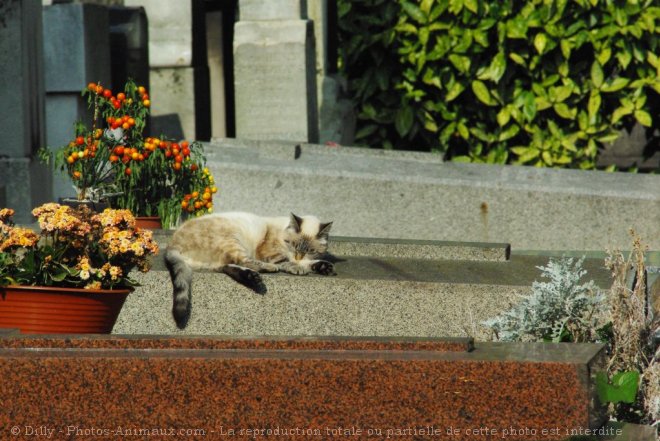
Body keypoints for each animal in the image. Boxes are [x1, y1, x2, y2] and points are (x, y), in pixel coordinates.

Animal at [160, 211, 336, 328]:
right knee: (244, 261)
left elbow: (310, 261)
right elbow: (287, 261)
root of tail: (171, 245)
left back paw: (252, 278)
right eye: (292, 245)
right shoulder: (269, 253)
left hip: (216, 260)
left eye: (311, 250)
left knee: (228, 266)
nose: (298, 256)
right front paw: (298, 266)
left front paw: (322, 266)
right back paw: (265, 271)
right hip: (232, 241)